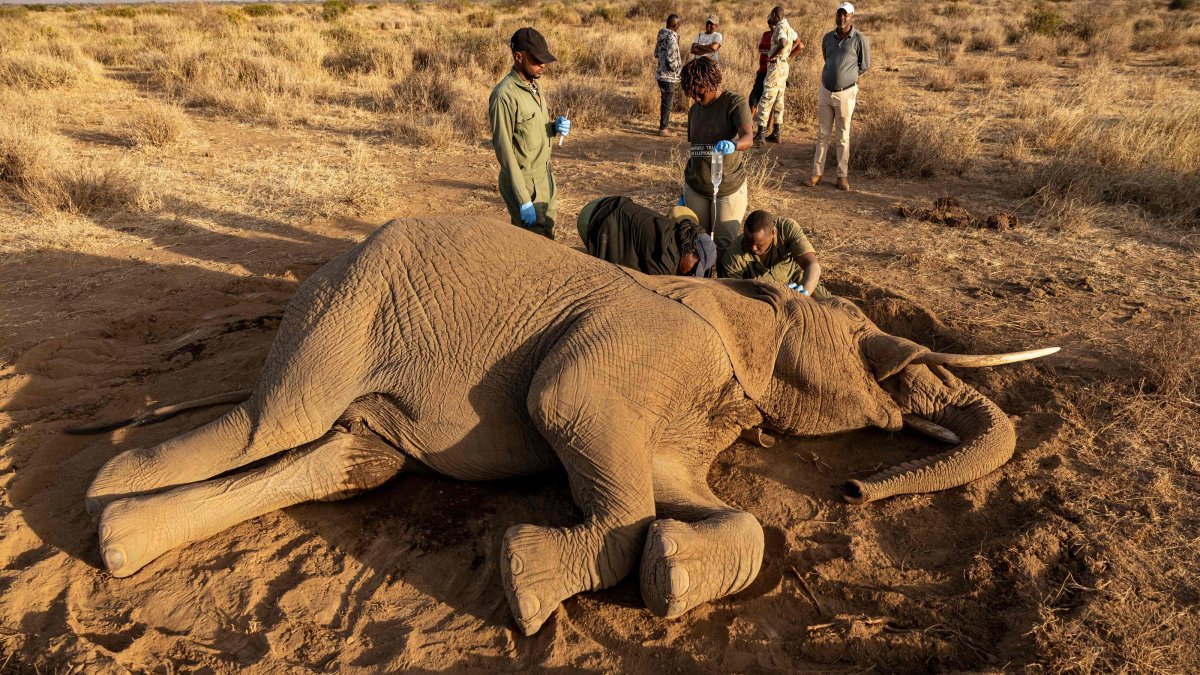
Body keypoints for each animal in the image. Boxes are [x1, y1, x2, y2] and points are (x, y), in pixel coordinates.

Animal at [83, 217, 1057, 636]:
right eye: (860, 335)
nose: (855, 486)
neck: (733, 298)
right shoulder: (644, 347)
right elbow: (564, 402)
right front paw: (526, 585)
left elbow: (702, 502)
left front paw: (672, 572)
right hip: (346, 307)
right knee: (268, 421)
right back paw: (105, 487)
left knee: (344, 460)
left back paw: (120, 540)